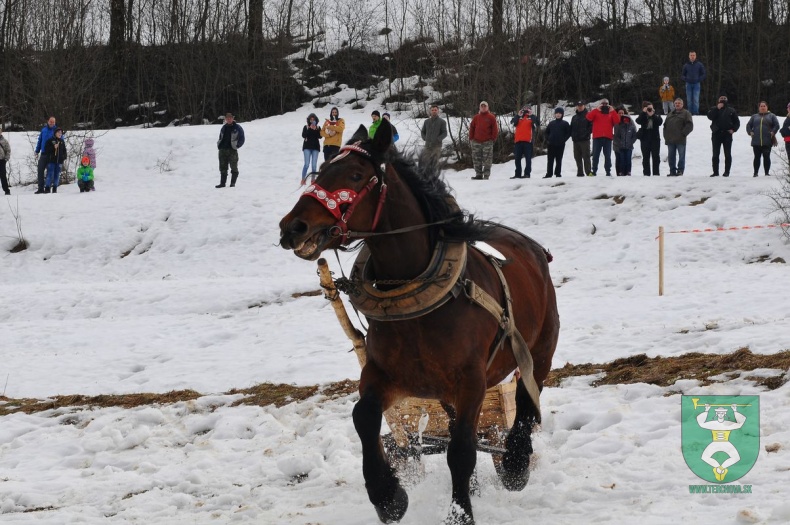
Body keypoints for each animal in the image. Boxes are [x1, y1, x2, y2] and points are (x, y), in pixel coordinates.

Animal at [282, 119, 560, 524]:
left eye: (355, 174)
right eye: (319, 172)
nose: (292, 227)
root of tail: (534, 249)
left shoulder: (472, 379)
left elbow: (461, 450)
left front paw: (461, 514)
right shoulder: (385, 374)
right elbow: (364, 416)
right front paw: (388, 496)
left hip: (539, 350)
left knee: (525, 402)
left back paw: (515, 464)